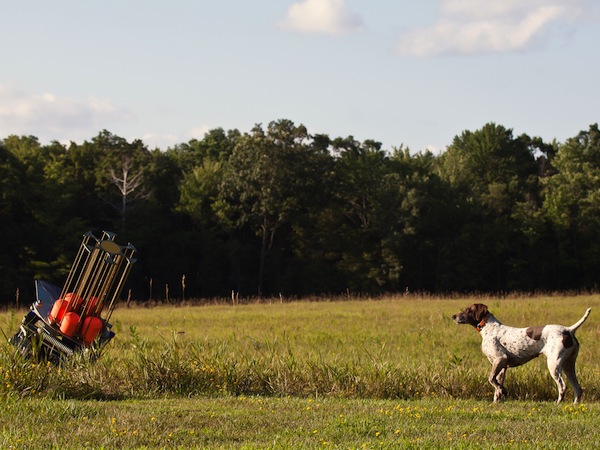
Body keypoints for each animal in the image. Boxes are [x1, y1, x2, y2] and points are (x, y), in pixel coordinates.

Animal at [452, 304, 588, 402]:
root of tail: (568, 330)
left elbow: (491, 379)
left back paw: (558, 403)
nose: (453, 316)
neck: (488, 327)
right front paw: (497, 399)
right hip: (568, 367)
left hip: (554, 365)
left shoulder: (500, 359)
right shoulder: (502, 367)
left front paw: (503, 391)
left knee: (562, 386)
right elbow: (497, 386)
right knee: (578, 389)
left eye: (468, 310)